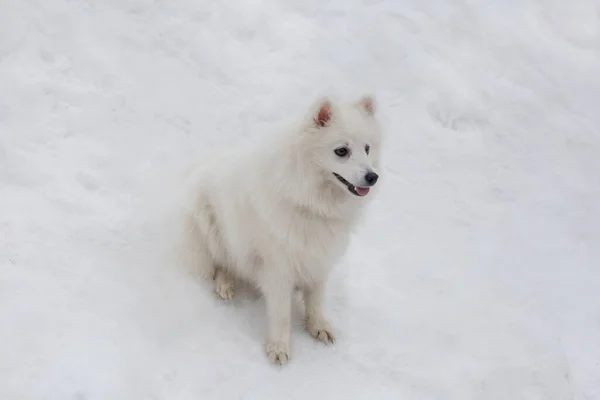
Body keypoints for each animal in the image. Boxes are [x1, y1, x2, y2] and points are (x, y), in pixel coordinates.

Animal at [180, 95, 382, 364]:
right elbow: (281, 313)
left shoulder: (318, 257)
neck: (309, 202)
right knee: (223, 263)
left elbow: (316, 299)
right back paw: (225, 285)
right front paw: (278, 347)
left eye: (367, 149)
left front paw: (318, 326)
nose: (373, 177)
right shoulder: (277, 267)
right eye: (342, 151)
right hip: (211, 226)